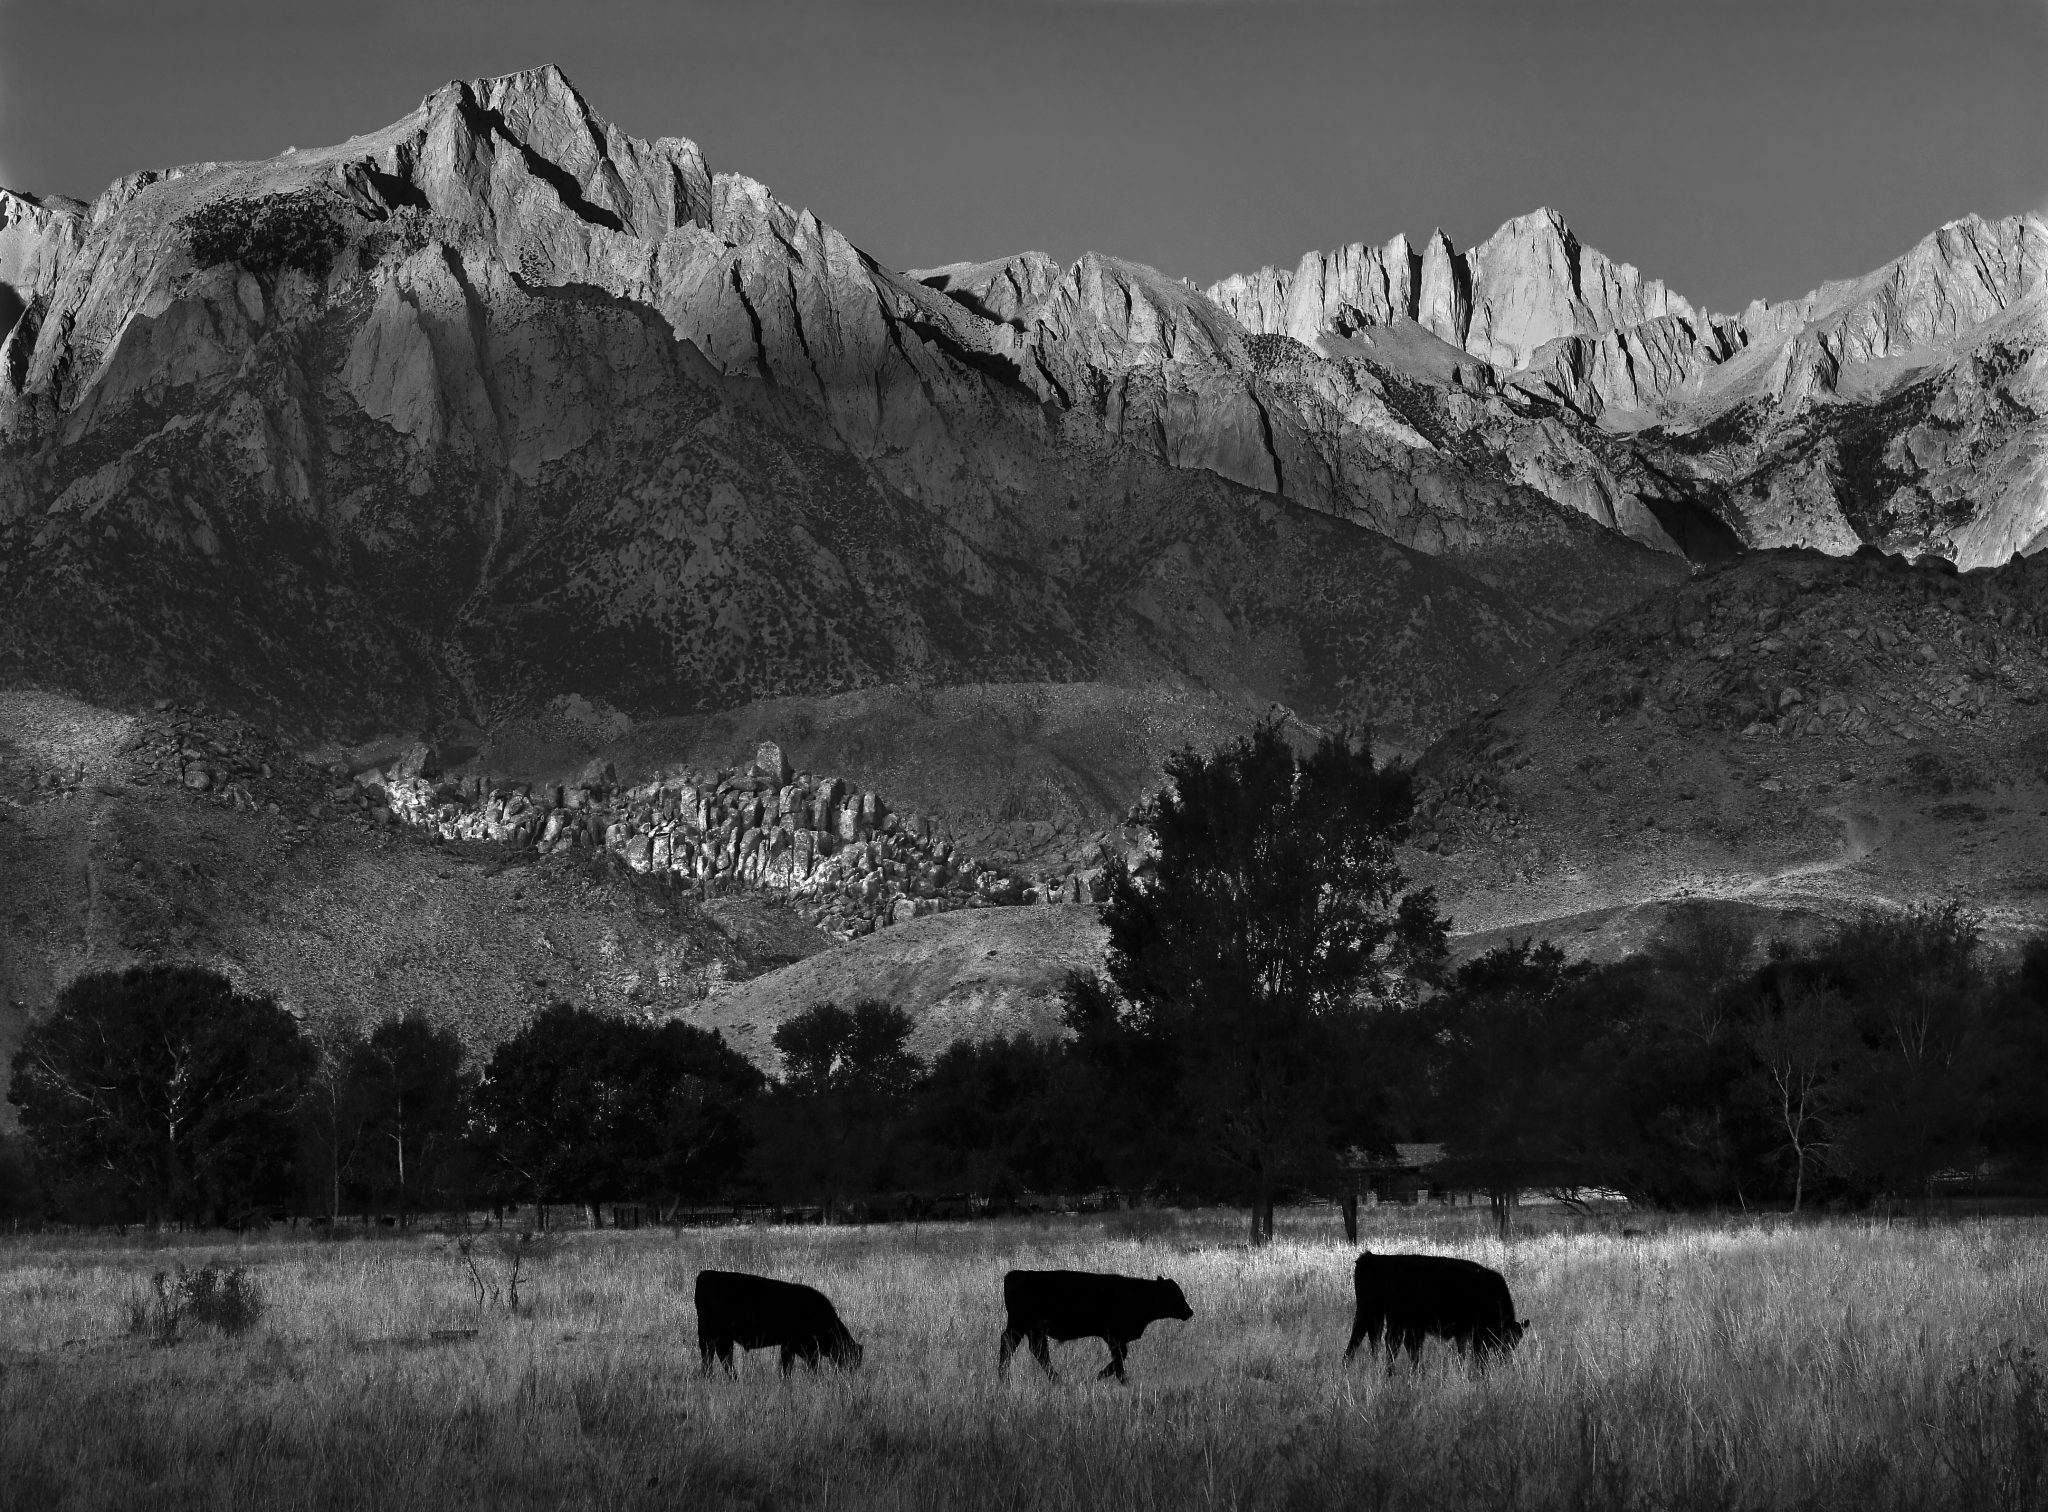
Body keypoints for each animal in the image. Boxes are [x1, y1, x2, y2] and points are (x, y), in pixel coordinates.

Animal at [696, 1270, 864, 1368]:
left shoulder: (791, 1346)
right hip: (709, 1337)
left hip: (722, 1339)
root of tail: (705, 1274)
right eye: (850, 1359)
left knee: (723, 1359)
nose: (850, 1374)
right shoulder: (799, 1346)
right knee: (710, 1359)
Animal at [999, 1262, 1196, 1376]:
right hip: (1023, 1326)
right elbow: (1120, 1358)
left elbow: (1121, 1357)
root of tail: (1016, 1274)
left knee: (1033, 1350)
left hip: (1028, 1329)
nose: (1189, 1311)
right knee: (1023, 1348)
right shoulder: (1113, 1337)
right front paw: (1104, 1375)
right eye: (1174, 1295)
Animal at [1343, 1245, 1523, 1360]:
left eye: (1515, 1342)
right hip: (1385, 1317)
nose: (1504, 1358)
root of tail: (1372, 1259)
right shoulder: (1475, 1332)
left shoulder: (1461, 1332)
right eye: (1507, 1339)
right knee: (1385, 1342)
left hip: (1377, 1316)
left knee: (1372, 1340)